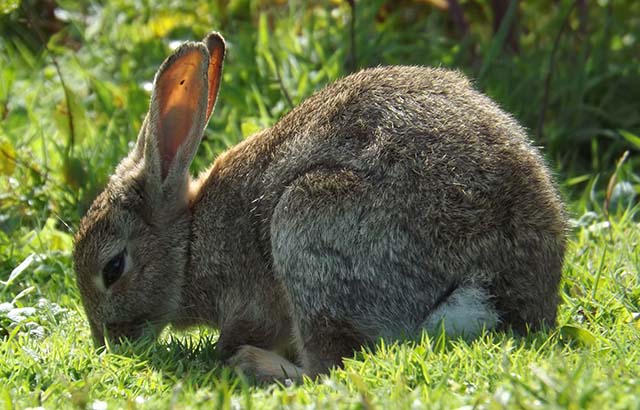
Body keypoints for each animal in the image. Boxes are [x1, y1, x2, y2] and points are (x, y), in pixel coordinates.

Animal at [73, 31, 567, 382]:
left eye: (113, 268)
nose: (107, 342)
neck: (190, 243)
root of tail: (497, 289)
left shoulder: (247, 301)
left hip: (309, 224)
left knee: (328, 366)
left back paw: (253, 364)